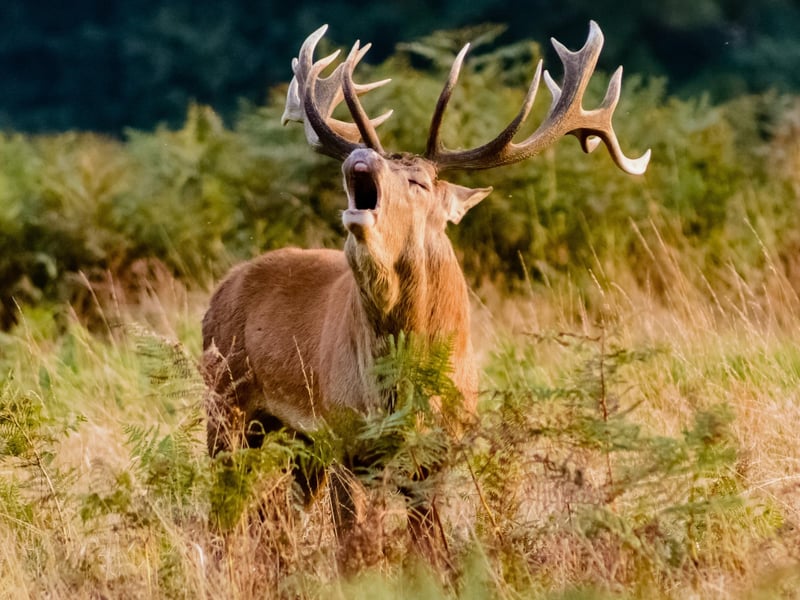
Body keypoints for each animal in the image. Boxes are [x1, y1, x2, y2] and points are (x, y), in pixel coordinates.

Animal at [201, 21, 650, 564]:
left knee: (270, 517)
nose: (359, 156)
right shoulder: (343, 434)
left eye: (417, 180)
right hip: (225, 404)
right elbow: (353, 549)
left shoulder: (436, 453)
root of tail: (220, 290)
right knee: (226, 512)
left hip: (293, 442)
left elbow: (431, 550)